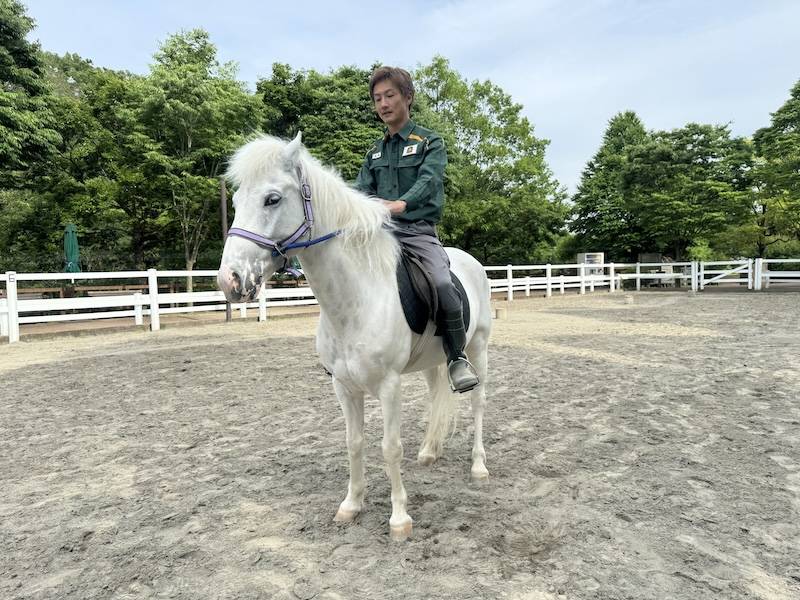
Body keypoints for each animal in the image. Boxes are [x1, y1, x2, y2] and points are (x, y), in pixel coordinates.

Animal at [217, 133, 492, 541]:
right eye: (235, 202)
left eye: (273, 199)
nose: (230, 281)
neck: (355, 298)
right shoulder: (344, 387)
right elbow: (354, 443)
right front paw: (351, 504)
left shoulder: (389, 386)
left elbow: (390, 448)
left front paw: (399, 518)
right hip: (435, 360)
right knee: (435, 396)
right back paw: (429, 452)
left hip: (478, 349)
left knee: (477, 404)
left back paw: (478, 467)